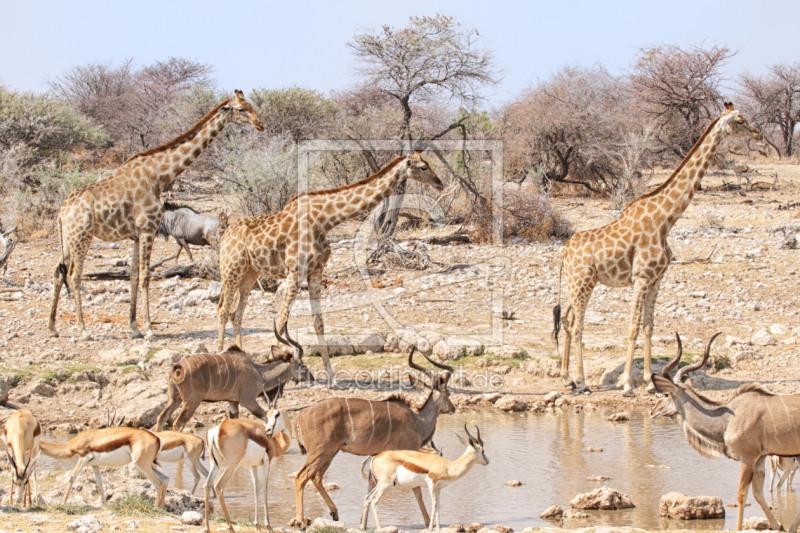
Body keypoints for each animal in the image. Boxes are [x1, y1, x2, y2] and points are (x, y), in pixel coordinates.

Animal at [48, 89, 264, 338]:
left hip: (67, 239)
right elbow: (145, 277)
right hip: (81, 237)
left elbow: (133, 277)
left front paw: (134, 328)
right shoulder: (147, 229)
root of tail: (62, 212)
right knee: (74, 275)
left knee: (58, 271)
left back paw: (52, 327)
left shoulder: (135, 235)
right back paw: (83, 330)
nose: (260, 124)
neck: (159, 176)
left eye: (251, 105)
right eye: (241, 109)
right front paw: (149, 330)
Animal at [217, 151, 444, 382]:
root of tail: (224, 234)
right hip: (230, 270)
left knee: (237, 312)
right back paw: (220, 356)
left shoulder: (316, 271)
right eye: (424, 167)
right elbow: (280, 322)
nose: (439, 183)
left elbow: (318, 323)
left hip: (249, 273)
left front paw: (332, 377)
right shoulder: (294, 271)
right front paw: (283, 363)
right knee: (223, 310)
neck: (324, 220)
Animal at [552, 103, 764, 394]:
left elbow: (649, 327)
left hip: (579, 285)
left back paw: (567, 378)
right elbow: (633, 328)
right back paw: (582, 381)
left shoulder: (657, 279)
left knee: (567, 321)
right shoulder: (641, 277)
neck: (666, 219)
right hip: (582, 283)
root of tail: (564, 252)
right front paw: (627, 384)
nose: (759, 134)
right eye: (740, 120)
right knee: (576, 326)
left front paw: (648, 382)